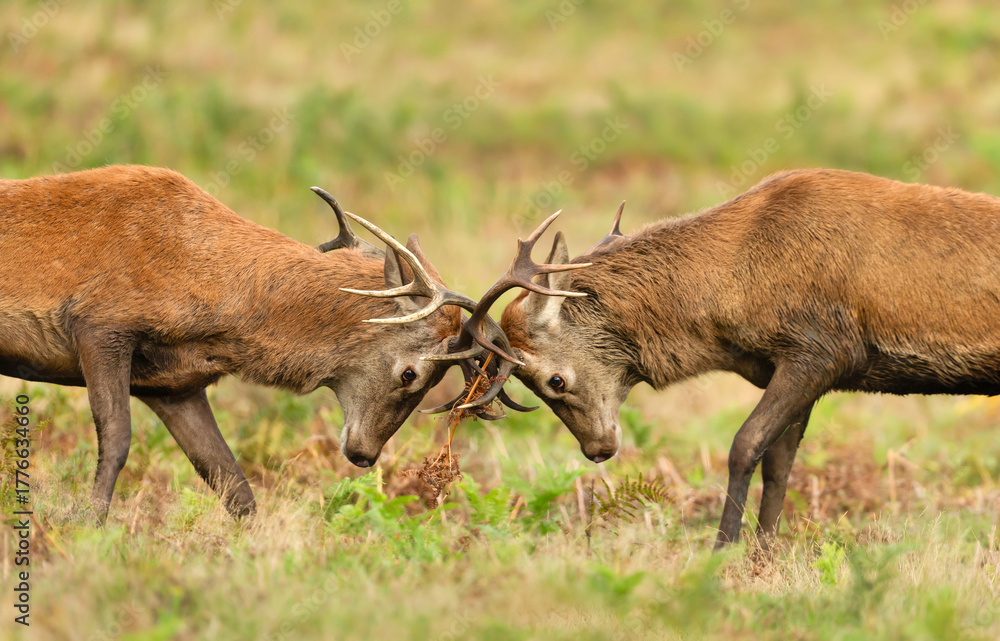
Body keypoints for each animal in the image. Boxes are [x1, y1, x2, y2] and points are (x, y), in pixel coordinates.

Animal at [0, 164, 535, 523]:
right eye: (411, 373)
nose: (364, 455)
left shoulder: (171, 385)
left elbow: (233, 485)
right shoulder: (98, 324)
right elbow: (115, 440)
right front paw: (86, 526)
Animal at [467, 168, 1000, 549]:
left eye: (553, 381)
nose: (598, 449)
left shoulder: (822, 348)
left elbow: (744, 446)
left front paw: (722, 550)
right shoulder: (799, 365)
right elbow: (779, 462)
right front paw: (764, 553)